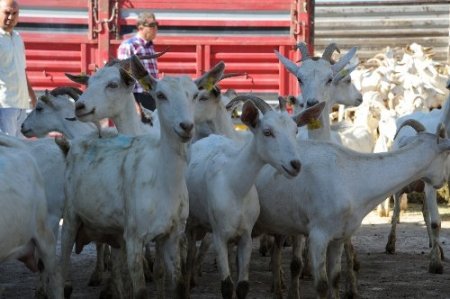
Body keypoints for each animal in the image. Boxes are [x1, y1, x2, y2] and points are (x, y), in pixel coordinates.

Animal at [58, 57, 227, 298]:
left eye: (196, 95)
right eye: (160, 95)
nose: (186, 126)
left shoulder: (172, 233)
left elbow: (169, 277)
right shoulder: (134, 236)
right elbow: (138, 286)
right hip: (71, 218)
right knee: (62, 265)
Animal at [255, 120, 450, 299]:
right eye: (447, 154)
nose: (443, 181)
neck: (352, 176)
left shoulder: (339, 236)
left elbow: (335, 279)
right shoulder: (318, 235)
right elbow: (322, 285)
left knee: (276, 256)